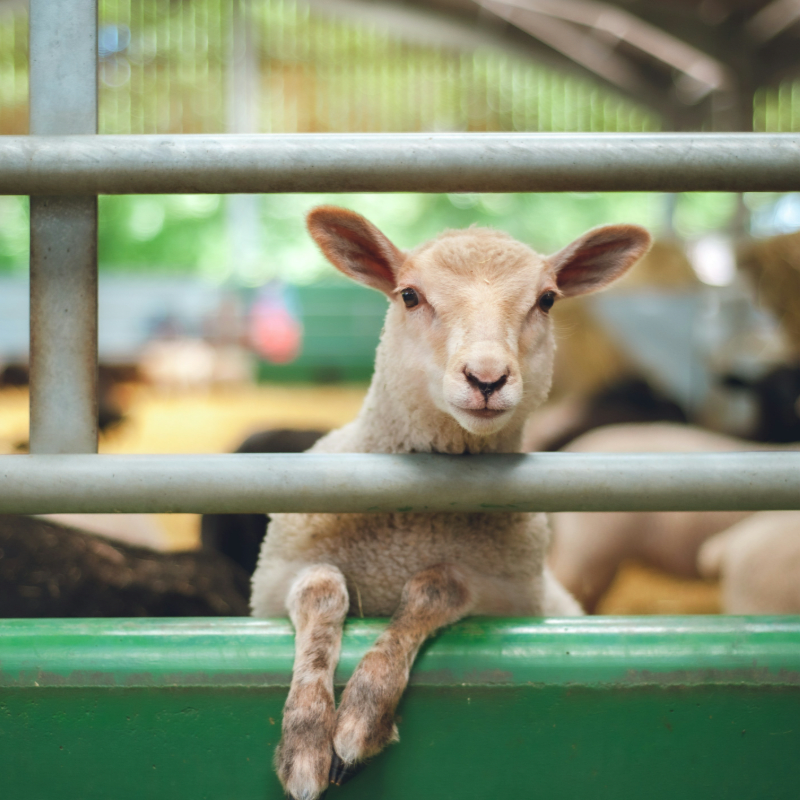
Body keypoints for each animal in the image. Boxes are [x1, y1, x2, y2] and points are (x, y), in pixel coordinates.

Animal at [249, 206, 651, 800]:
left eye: (547, 299)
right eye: (409, 295)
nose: (487, 378)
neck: (413, 527)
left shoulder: (503, 594)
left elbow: (436, 588)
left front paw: (360, 720)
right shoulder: (274, 582)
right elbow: (322, 591)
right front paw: (305, 739)